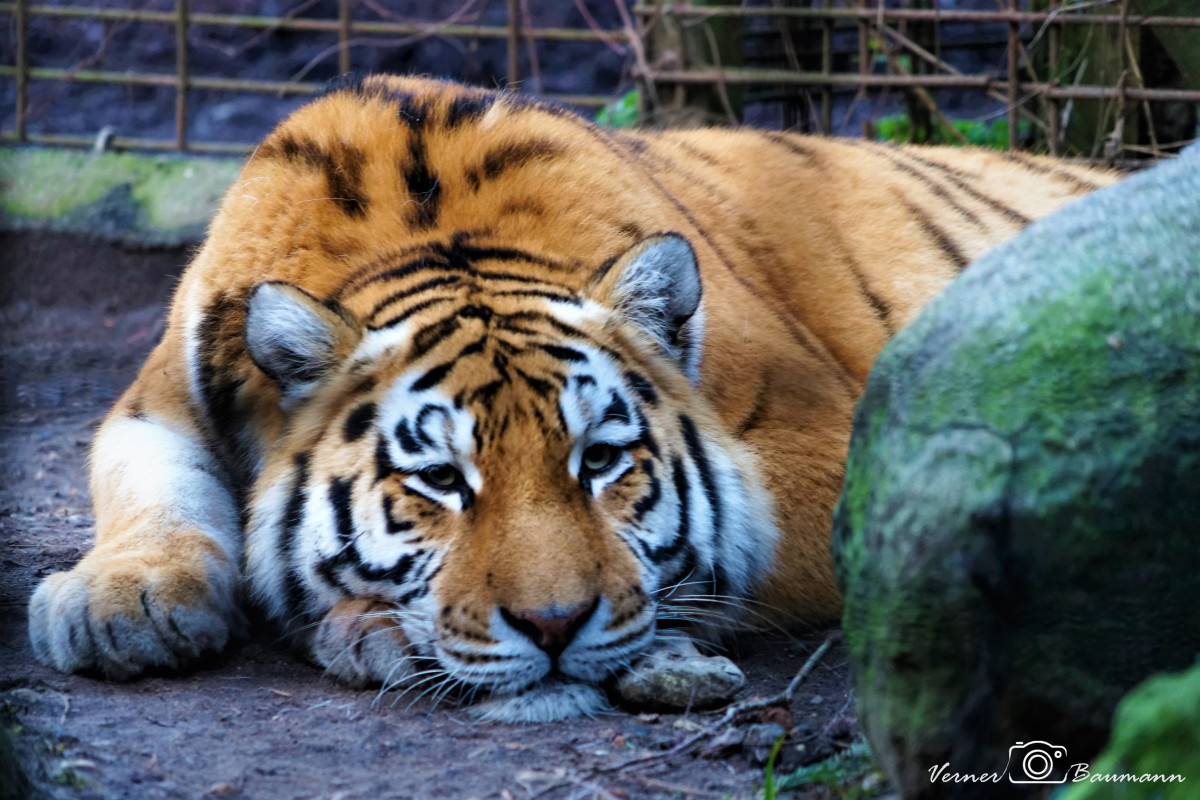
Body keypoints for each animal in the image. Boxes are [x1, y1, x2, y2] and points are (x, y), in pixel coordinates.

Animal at [26, 75, 1115, 721]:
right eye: (438, 479)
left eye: (600, 461)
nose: (551, 628)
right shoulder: (154, 398)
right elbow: (150, 487)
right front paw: (120, 602)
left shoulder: (832, 436)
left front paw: (370, 628)